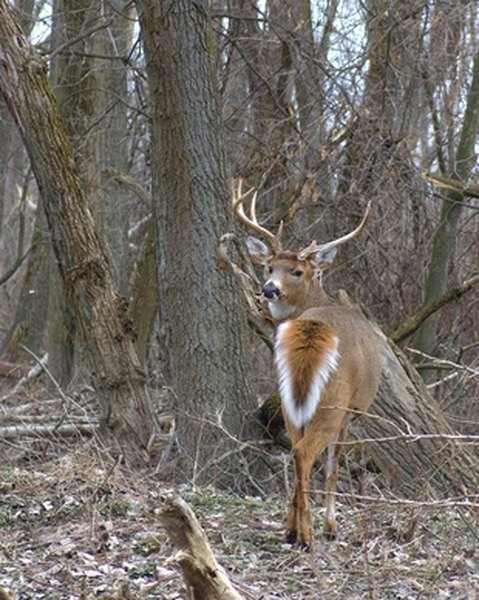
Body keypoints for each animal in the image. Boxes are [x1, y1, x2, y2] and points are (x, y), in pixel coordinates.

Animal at [234, 182, 384, 548]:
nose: (268, 289)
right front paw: (331, 526)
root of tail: (312, 332)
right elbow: (333, 466)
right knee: (306, 453)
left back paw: (294, 531)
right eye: (269, 267)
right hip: (333, 401)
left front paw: (291, 524)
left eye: (297, 271)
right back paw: (310, 536)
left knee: (296, 451)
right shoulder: (350, 413)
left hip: (288, 399)